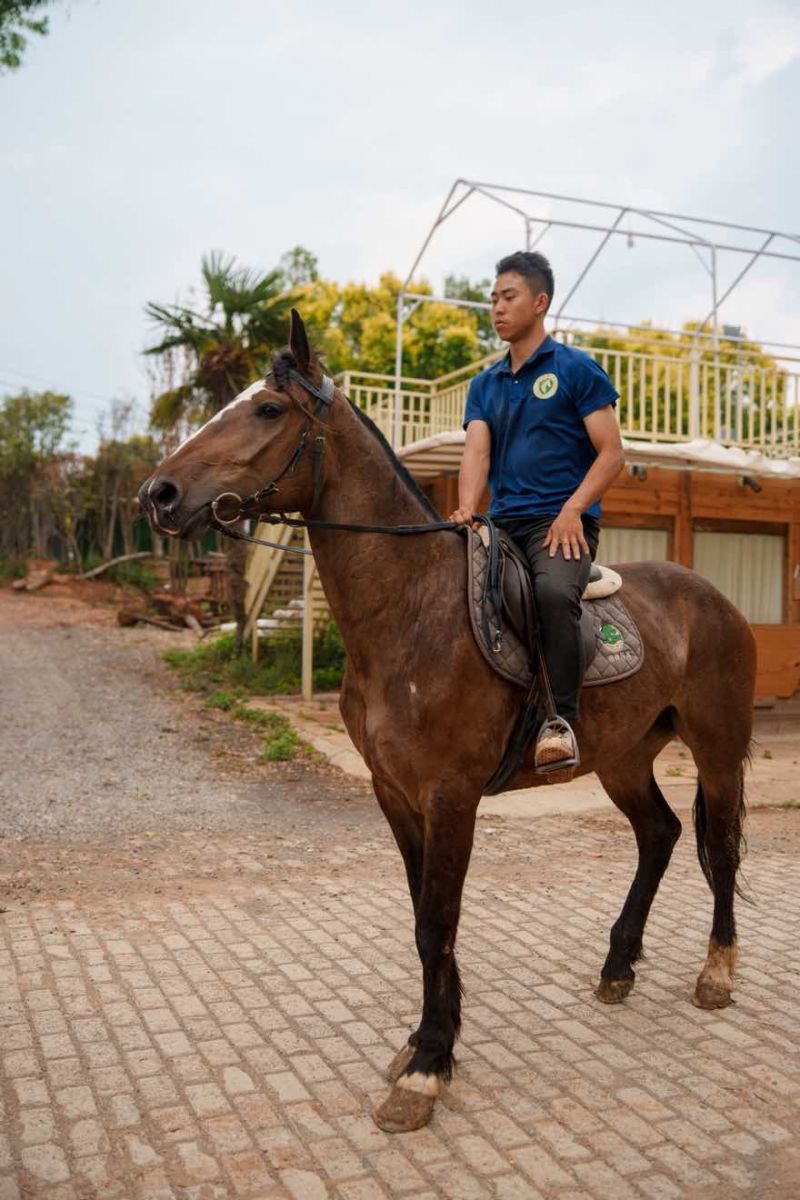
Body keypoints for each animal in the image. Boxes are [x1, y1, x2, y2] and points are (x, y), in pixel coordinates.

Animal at [139, 311, 756, 1134]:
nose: (159, 493)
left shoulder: (450, 795)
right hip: (622, 756)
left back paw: (716, 972)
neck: (411, 611)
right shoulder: (395, 794)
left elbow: (437, 920)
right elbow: (422, 917)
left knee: (719, 850)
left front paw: (427, 1069)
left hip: (717, 749)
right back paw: (618, 964)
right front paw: (429, 1040)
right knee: (659, 835)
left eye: (267, 410)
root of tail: (716, 600)